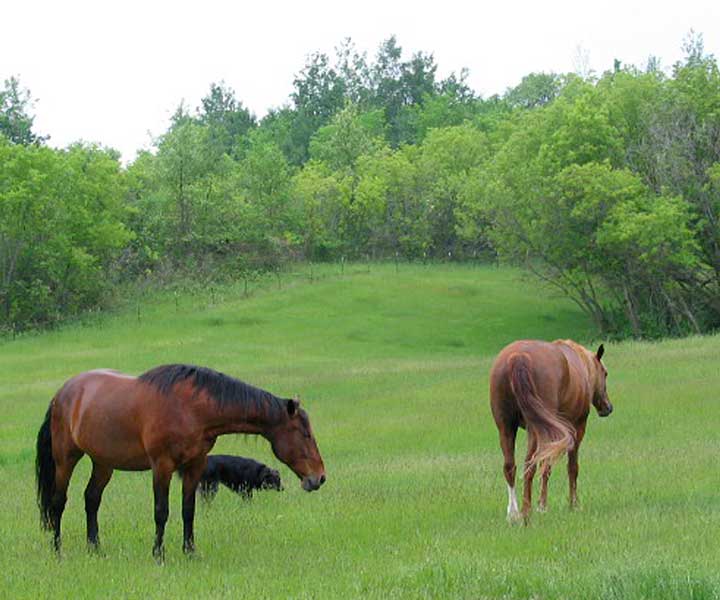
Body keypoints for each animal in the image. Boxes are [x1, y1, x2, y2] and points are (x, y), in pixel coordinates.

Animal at [34, 364, 326, 560]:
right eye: (305, 434)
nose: (319, 477)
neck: (190, 408)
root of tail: (63, 393)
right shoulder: (162, 466)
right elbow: (161, 511)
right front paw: (158, 553)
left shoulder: (195, 466)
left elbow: (188, 510)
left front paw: (190, 551)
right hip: (66, 458)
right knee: (58, 502)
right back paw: (57, 550)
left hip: (103, 463)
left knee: (92, 499)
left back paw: (95, 548)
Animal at [486, 340, 612, 524]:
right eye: (605, 373)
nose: (608, 407)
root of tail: (518, 357)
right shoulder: (577, 429)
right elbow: (569, 468)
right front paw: (570, 505)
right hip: (535, 430)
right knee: (529, 464)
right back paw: (526, 511)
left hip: (506, 426)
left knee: (510, 467)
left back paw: (513, 513)